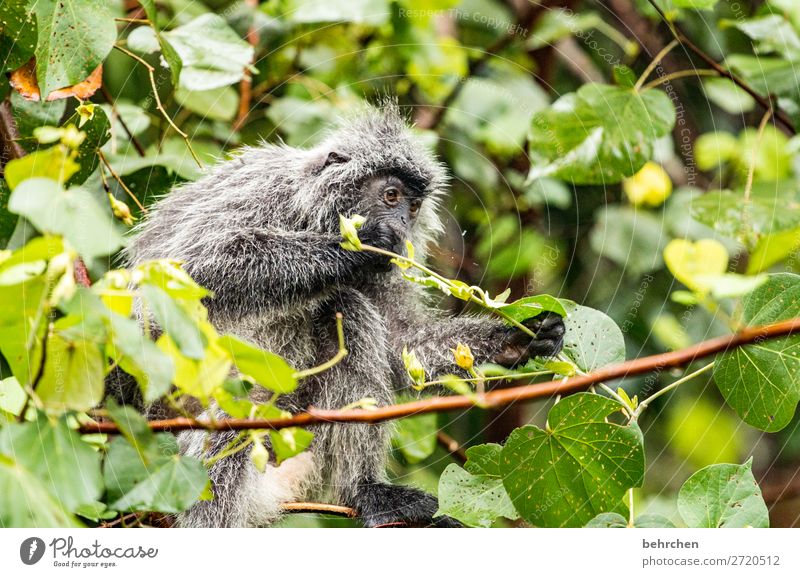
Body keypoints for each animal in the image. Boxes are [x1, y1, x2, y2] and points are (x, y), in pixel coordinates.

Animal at [122, 102, 564, 528]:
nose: (402, 225)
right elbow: (188, 270)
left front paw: (519, 339)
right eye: (390, 196)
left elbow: (400, 344)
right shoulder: (261, 192)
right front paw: (357, 246)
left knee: (346, 310)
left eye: (413, 206)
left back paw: (366, 490)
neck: (308, 218)